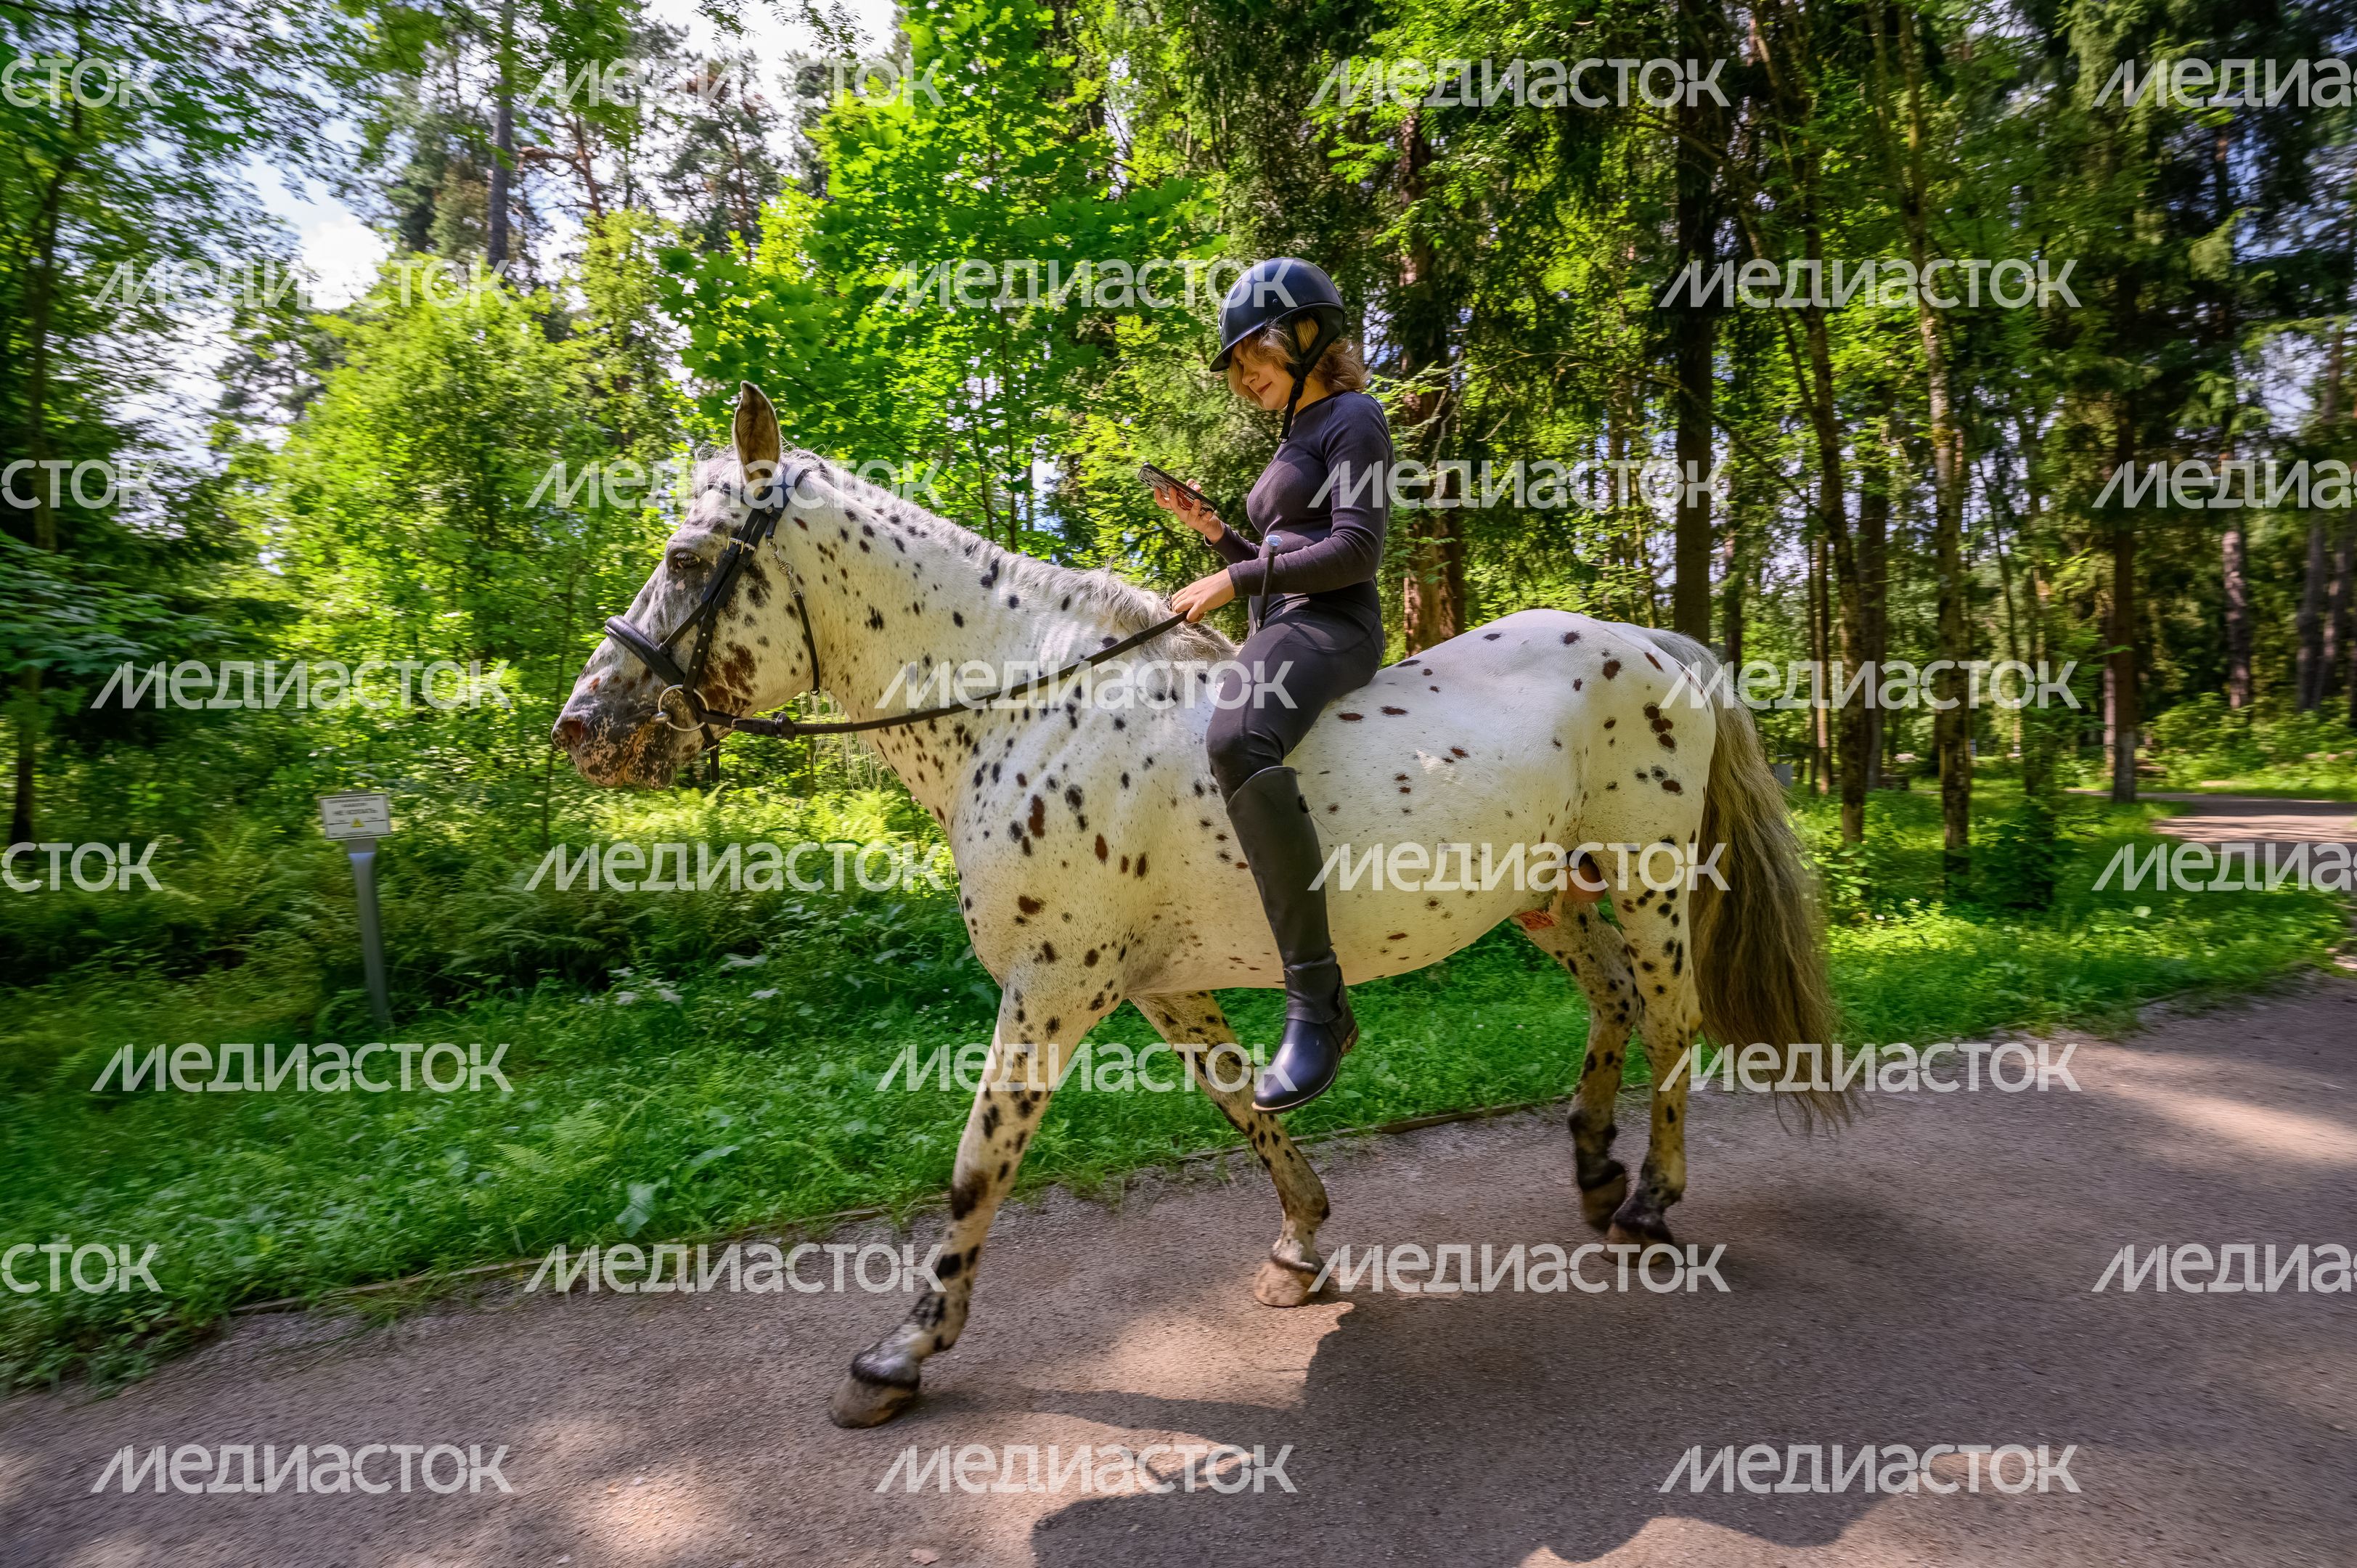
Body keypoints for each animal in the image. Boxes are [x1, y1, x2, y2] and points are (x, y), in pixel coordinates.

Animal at [555, 383, 1842, 1429]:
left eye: (684, 557)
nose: (580, 728)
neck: (1021, 709)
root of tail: (1657, 643)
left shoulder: (1051, 989)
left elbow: (978, 1164)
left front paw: (901, 1352)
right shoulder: (1155, 989)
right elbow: (1237, 1106)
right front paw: (1300, 1245)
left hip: (1648, 878)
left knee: (1671, 1020)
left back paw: (1650, 1204)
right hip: (1547, 895)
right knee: (1615, 1005)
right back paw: (1591, 1170)